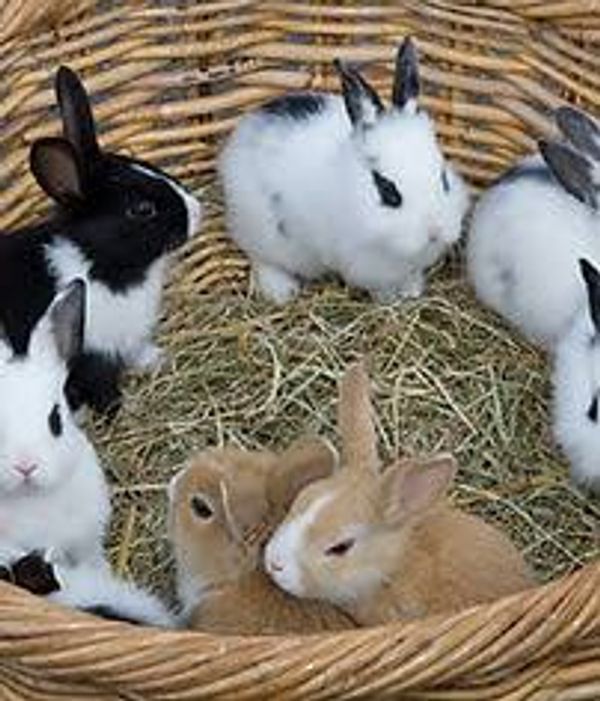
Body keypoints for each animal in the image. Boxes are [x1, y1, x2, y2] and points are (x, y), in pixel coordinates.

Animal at [0, 65, 202, 416]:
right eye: (142, 209)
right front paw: (121, 409)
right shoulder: (91, 357)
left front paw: (158, 359)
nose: (196, 211)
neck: (99, 263)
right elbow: (103, 389)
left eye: (148, 165)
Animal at [219, 37, 469, 304]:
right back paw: (281, 291)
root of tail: (245, 127)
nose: (435, 232)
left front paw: (412, 291)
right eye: (388, 191)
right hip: (261, 233)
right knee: (261, 258)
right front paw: (389, 300)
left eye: (444, 179)